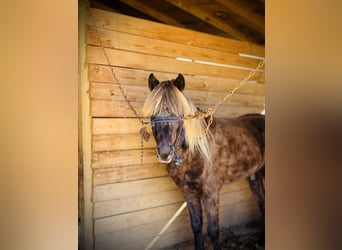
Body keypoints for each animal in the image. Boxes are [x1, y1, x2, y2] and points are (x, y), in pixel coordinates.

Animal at [142, 73, 264, 249]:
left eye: (179, 114)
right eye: (153, 114)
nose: (164, 153)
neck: (193, 154)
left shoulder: (210, 193)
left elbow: (213, 230)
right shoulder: (189, 193)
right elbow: (196, 225)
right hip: (255, 176)